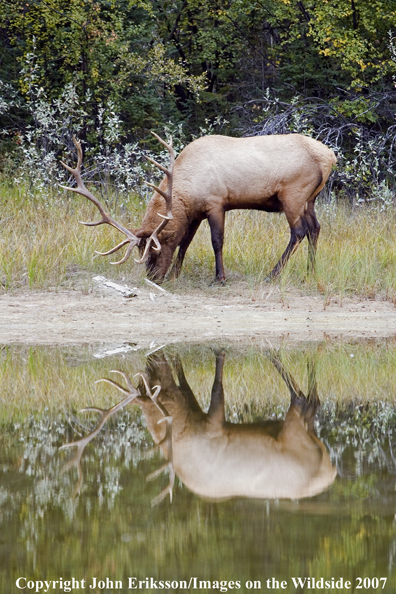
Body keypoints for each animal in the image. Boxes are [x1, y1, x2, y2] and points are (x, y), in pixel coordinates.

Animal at [60, 134, 336, 282]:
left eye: (157, 250)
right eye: (141, 252)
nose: (153, 277)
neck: (188, 188)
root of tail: (330, 156)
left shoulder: (216, 202)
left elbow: (217, 241)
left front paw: (219, 278)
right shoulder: (195, 214)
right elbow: (186, 242)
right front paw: (176, 273)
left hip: (293, 194)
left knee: (299, 231)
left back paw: (273, 274)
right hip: (310, 199)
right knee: (315, 228)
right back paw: (311, 270)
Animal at [62, 350, 338, 502]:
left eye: (153, 384)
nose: (154, 364)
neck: (185, 428)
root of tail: (330, 469)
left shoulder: (214, 425)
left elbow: (216, 385)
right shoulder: (194, 406)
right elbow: (185, 379)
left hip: (293, 429)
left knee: (302, 400)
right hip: (305, 430)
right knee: (313, 403)